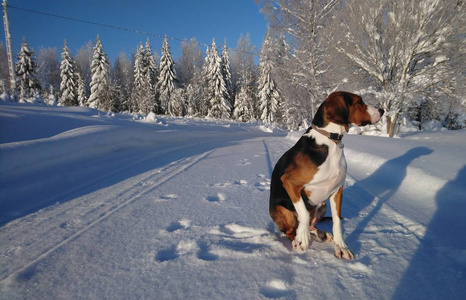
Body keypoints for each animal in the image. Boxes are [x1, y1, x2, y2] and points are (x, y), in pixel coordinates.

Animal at [268, 91, 384, 260]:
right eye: (359, 102)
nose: (382, 110)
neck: (330, 140)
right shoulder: (289, 182)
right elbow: (304, 214)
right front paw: (302, 239)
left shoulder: (337, 190)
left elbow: (337, 222)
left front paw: (341, 247)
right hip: (281, 209)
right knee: (292, 230)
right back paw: (298, 240)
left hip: (322, 205)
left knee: (312, 226)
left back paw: (321, 234)